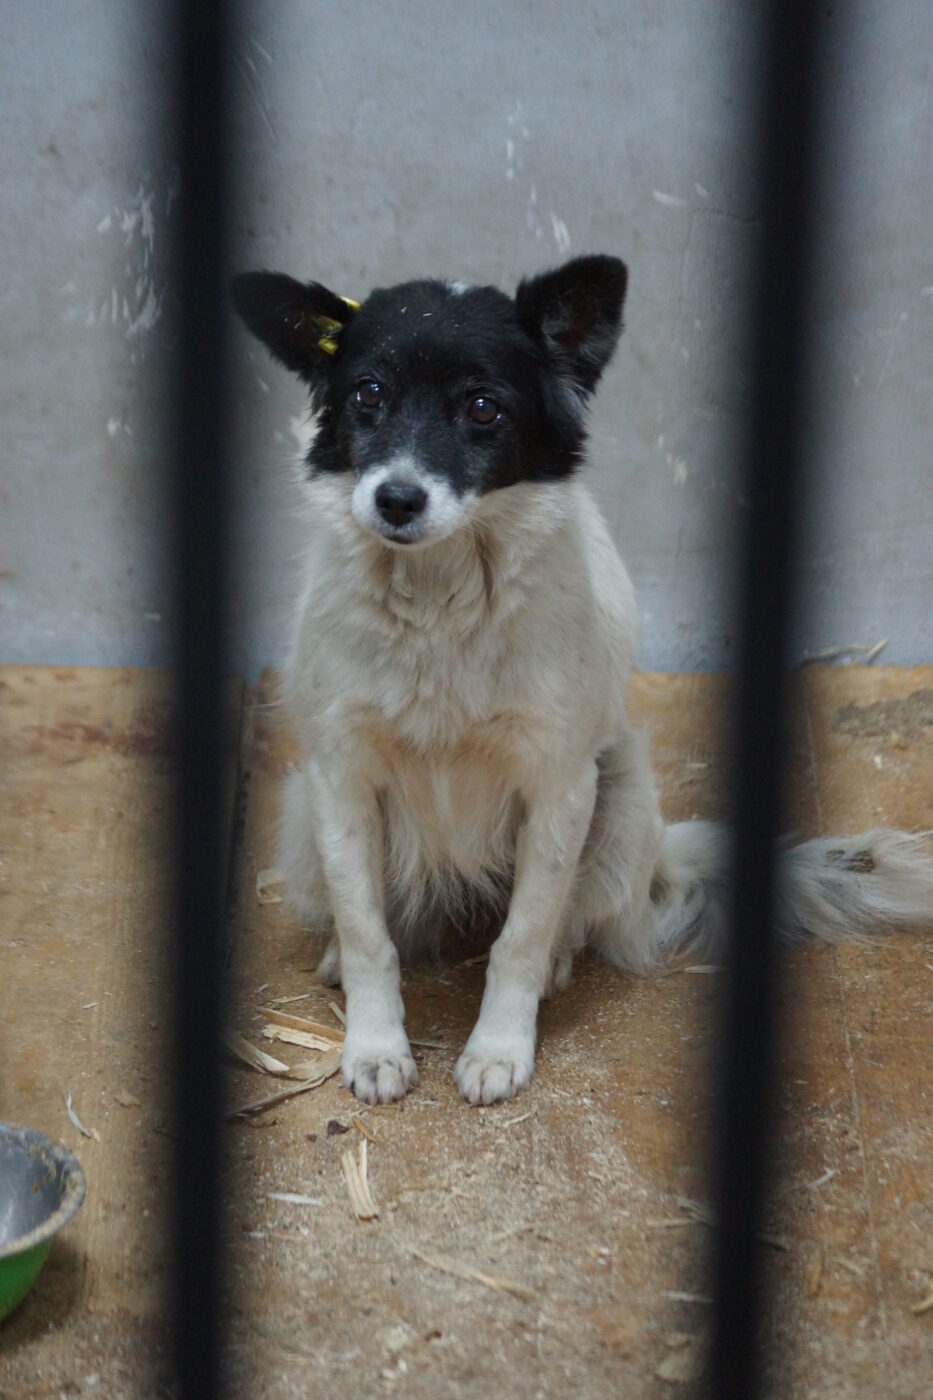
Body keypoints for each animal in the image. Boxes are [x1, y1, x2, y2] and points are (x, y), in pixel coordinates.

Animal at [231, 252, 930, 1103]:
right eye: (366, 394)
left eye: (482, 407)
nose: (394, 499)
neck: (438, 603)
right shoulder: (341, 778)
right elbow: (369, 933)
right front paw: (374, 1046)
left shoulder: (559, 784)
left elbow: (524, 934)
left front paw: (499, 1047)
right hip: (303, 812)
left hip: (621, 792)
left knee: (565, 917)